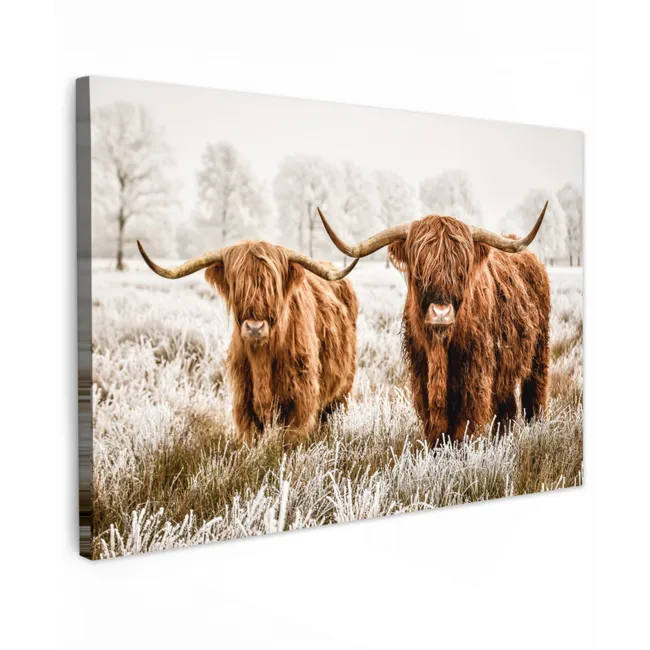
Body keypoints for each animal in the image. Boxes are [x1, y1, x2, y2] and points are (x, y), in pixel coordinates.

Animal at [137, 240, 359, 446]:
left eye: (273, 286)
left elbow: (291, 440)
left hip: (343, 390)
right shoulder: (243, 401)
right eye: (237, 284)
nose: (254, 328)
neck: (262, 359)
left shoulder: (301, 400)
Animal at [317, 203, 551, 447]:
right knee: (507, 405)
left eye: (461, 270)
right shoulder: (421, 372)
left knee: (534, 393)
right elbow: (434, 419)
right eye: (420, 270)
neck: (440, 345)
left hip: (539, 352)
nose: (441, 313)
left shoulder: (475, 373)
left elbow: (466, 420)